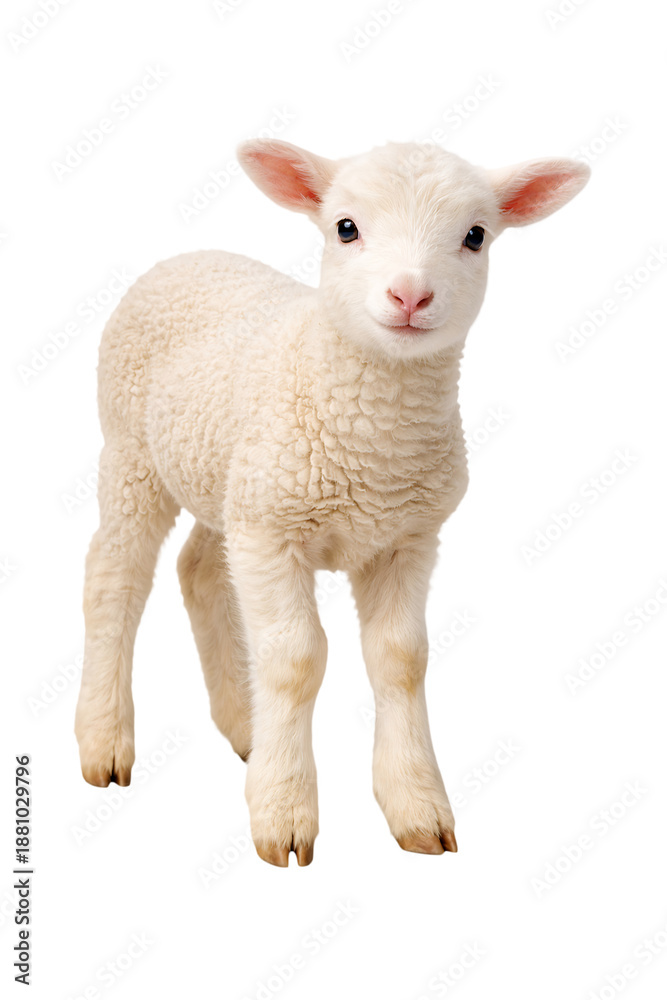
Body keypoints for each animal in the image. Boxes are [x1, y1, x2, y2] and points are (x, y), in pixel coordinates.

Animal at [74, 139, 590, 866]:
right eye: (345, 228)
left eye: (475, 235)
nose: (410, 293)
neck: (374, 446)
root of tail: (184, 257)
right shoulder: (273, 532)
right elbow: (295, 659)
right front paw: (284, 812)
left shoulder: (405, 536)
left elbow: (401, 657)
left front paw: (415, 804)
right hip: (132, 453)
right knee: (114, 577)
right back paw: (105, 739)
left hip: (226, 478)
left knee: (199, 569)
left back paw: (245, 726)